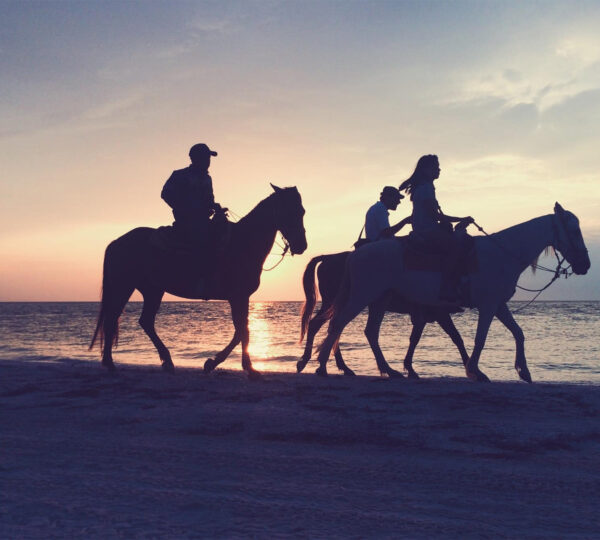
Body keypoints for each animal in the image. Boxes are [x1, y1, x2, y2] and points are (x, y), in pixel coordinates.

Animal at [89, 185, 308, 376]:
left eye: (302, 211)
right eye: (290, 210)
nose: (301, 245)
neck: (243, 243)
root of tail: (116, 242)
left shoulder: (241, 298)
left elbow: (242, 330)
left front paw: (230, 364)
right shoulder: (237, 296)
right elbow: (241, 331)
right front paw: (234, 366)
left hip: (152, 290)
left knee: (145, 321)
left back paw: (166, 361)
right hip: (123, 287)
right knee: (112, 319)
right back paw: (111, 363)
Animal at [298, 251, 472, 378]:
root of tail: (328, 257)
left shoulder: (422, 317)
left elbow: (414, 340)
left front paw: (410, 368)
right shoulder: (440, 313)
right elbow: (456, 337)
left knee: (329, 329)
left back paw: (338, 367)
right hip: (336, 302)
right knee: (321, 326)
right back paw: (309, 362)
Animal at [318, 204, 592, 384]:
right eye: (574, 231)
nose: (585, 265)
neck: (502, 254)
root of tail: (355, 254)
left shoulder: (498, 304)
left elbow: (518, 333)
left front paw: (523, 371)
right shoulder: (487, 305)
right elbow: (480, 338)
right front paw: (475, 371)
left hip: (380, 299)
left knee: (369, 331)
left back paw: (388, 370)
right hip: (362, 296)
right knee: (338, 324)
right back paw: (322, 366)